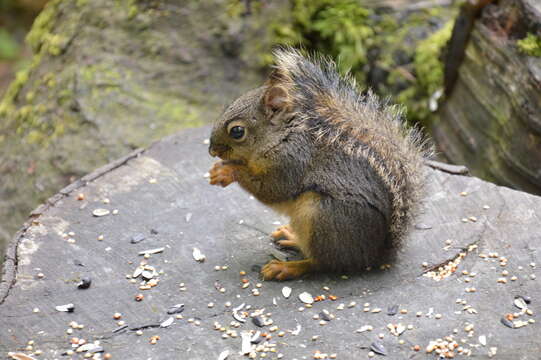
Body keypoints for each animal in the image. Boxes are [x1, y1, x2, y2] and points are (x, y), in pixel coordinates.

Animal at [207, 49, 430, 282]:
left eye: (237, 131)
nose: (212, 150)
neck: (280, 138)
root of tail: (375, 255)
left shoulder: (292, 161)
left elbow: (272, 190)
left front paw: (228, 171)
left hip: (322, 217)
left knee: (322, 263)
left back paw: (287, 267)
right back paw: (291, 237)